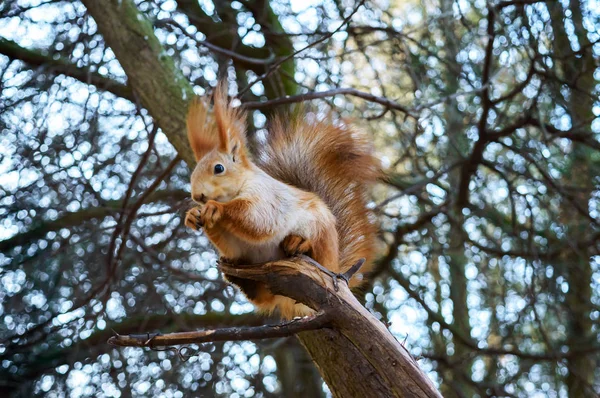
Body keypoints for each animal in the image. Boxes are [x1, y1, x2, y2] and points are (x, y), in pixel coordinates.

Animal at [184, 82, 380, 318]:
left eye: (219, 168)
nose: (197, 196)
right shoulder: (236, 243)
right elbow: (230, 243)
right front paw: (193, 215)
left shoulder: (267, 198)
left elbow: (257, 220)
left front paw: (215, 209)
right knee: (261, 296)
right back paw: (237, 277)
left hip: (321, 234)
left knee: (314, 251)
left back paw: (299, 243)